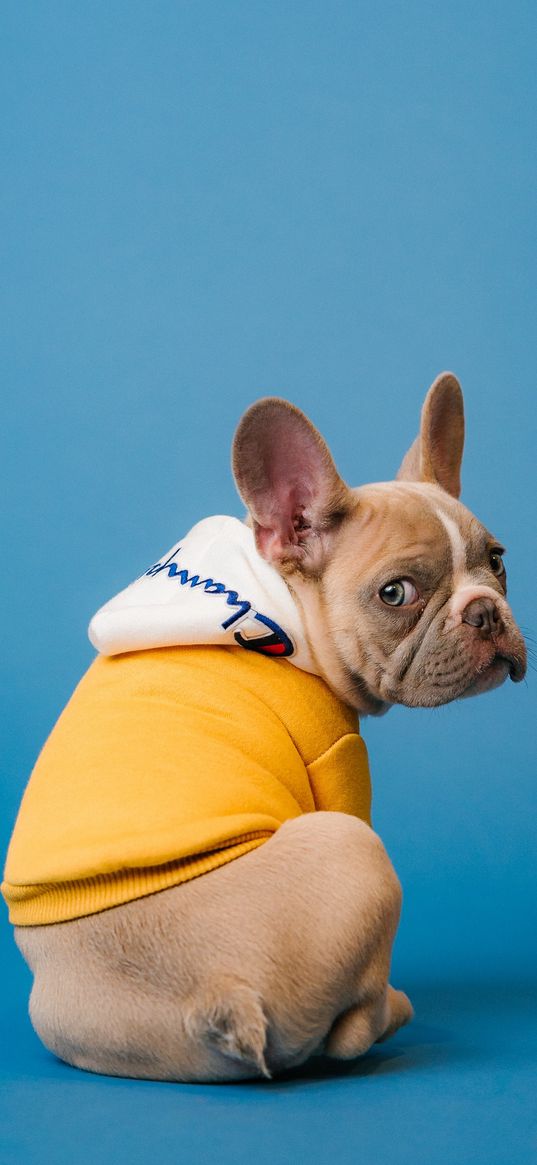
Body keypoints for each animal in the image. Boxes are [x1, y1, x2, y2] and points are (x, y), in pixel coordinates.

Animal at [2, 372, 526, 1081]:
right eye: (396, 594)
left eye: (497, 561)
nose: (485, 611)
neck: (285, 608)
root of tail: (217, 993)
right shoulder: (338, 760)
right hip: (352, 849)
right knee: (348, 1030)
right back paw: (391, 1010)